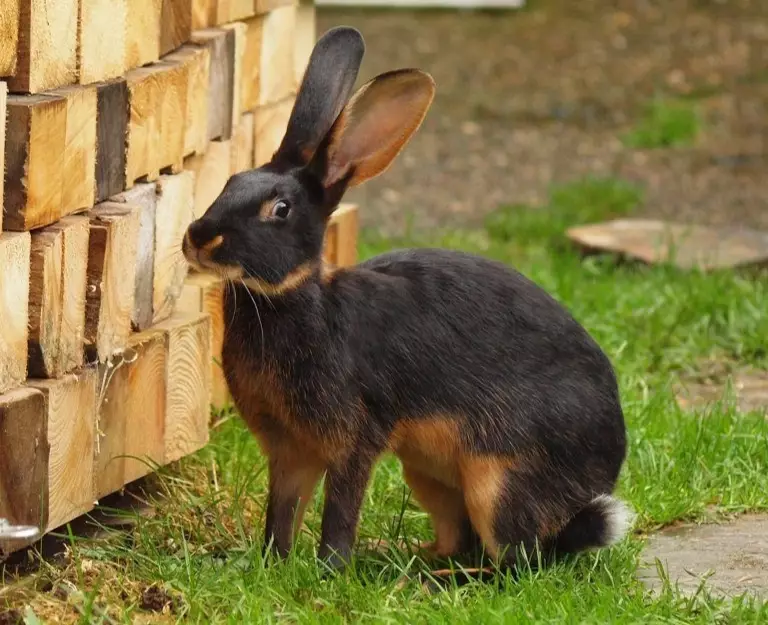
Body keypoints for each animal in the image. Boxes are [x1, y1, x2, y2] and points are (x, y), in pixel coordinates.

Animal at [182, 25, 632, 571]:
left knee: (515, 561)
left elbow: (339, 510)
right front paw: (271, 563)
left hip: (497, 482)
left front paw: (329, 570)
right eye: (230, 182)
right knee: (462, 541)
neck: (292, 303)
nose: (198, 237)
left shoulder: (354, 439)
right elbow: (283, 511)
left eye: (280, 209)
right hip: (427, 473)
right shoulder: (289, 451)